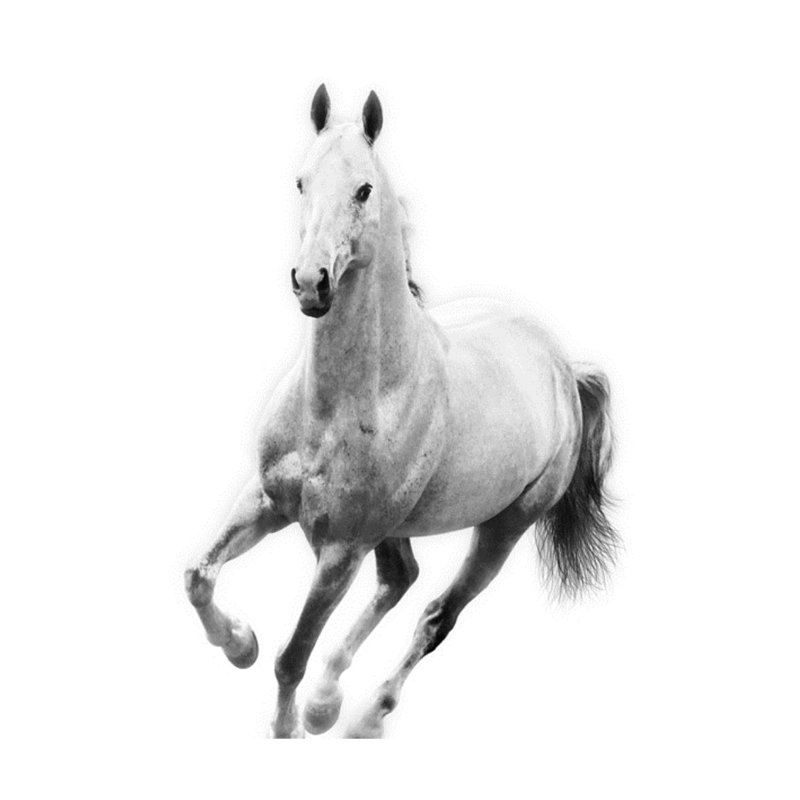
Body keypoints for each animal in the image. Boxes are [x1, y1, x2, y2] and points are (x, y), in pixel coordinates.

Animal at [184, 85, 619, 738]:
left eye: (364, 189)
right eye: (301, 181)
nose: (310, 282)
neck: (339, 406)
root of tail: (563, 367)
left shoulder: (341, 549)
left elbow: (292, 656)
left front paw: (288, 724)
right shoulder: (265, 500)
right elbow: (199, 576)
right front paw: (240, 644)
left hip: (503, 529)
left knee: (436, 615)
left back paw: (361, 715)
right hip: (394, 528)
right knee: (400, 579)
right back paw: (328, 702)